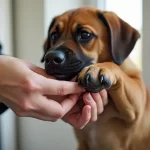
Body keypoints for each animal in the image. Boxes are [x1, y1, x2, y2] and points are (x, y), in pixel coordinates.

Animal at [40, 6, 150, 150]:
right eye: (54, 35)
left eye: (85, 34)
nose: (51, 58)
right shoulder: (82, 144)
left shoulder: (137, 105)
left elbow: (115, 67)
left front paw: (98, 68)